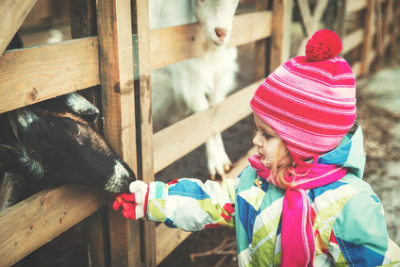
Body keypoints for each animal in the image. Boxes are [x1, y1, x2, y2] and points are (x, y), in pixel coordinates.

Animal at [149, 0, 238, 180]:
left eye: (235, 1)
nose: (221, 33)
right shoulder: (191, 82)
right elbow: (203, 116)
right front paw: (216, 165)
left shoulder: (219, 78)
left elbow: (215, 115)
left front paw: (223, 161)